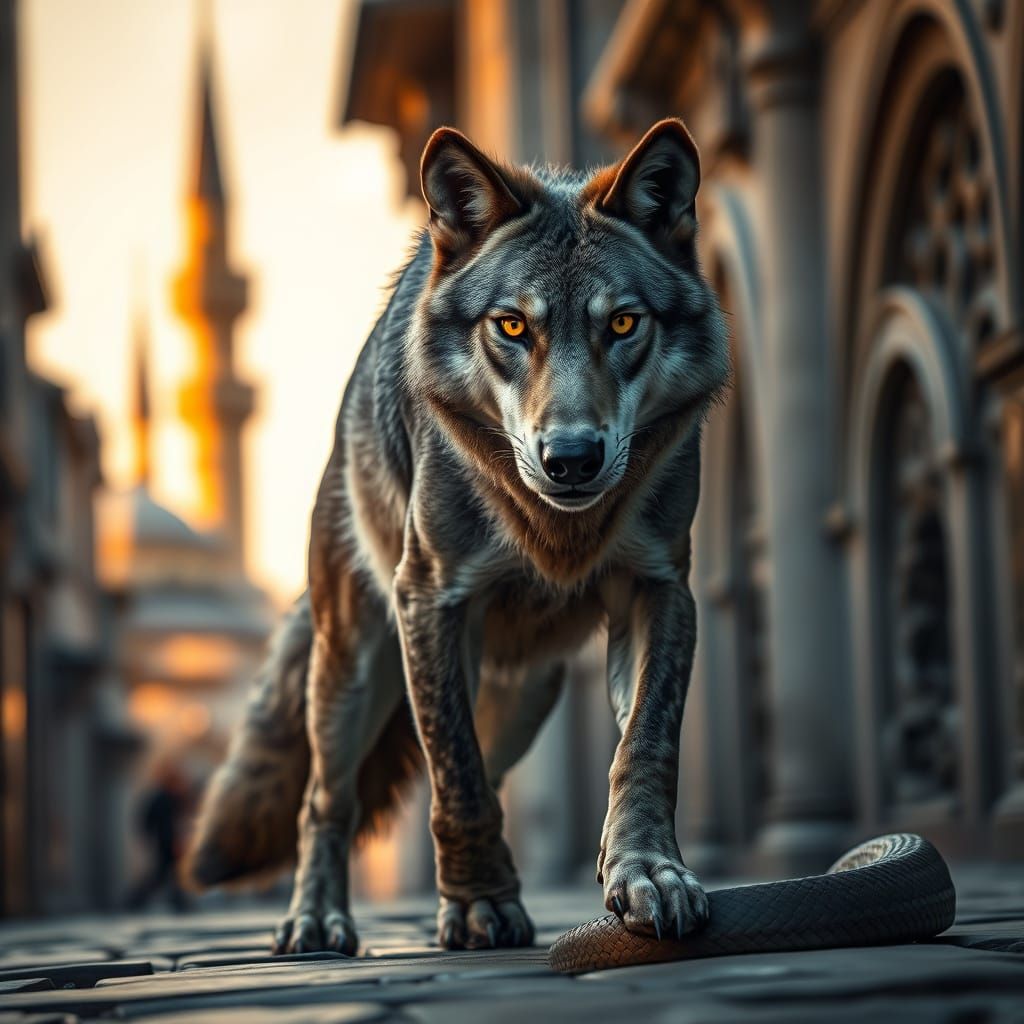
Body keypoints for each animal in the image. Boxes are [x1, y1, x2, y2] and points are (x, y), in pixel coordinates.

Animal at [184, 117, 730, 954]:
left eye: (623, 323)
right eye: (512, 325)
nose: (571, 458)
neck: (554, 530)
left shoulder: (659, 590)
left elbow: (645, 747)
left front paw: (648, 873)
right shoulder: (431, 600)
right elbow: (453, 776)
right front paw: (478, 907)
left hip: (525, 694)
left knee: (495, 775)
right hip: (353, 669)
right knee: (325, 800)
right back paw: (316, 920)